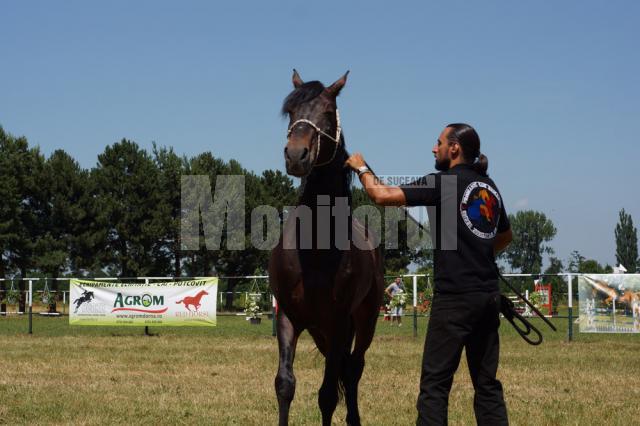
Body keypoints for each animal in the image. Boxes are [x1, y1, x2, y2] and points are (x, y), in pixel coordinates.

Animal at [268, 70, 382, 426]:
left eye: (329, 113)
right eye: (291, 112)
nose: (296, 155)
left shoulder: (339, 322)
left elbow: (328, 395)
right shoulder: (288, 317)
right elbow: (285, 385)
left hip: (364, 321)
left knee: (353, 369)